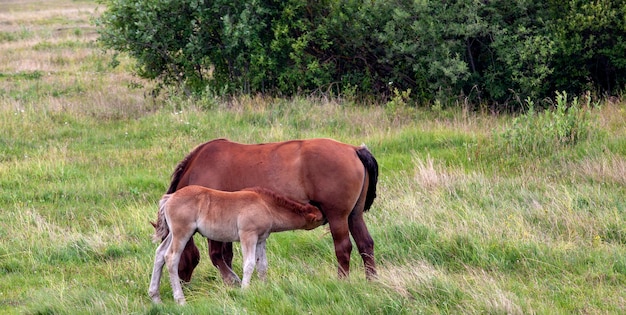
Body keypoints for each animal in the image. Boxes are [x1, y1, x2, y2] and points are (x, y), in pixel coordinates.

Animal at [149, 186, 324, 304]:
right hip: (182, 232)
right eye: (320, 217)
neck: (265, 205)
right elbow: (249, 264)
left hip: (172, 234)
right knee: (171, 258)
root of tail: (170, 197)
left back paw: (155, 297)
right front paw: (245, 291)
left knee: (159, 254)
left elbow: (262, 265)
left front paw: (264, 288)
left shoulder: (260, 239)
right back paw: (180, 300)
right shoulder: (248, 235)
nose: (327, 220)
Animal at [162, 138, 376, 284]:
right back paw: (372, 281)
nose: (182, 283)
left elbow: (216, 256)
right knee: (365, 244)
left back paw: (342, 281)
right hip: (354, 216)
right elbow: (227, 256)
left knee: (343, 248)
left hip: (337, 217)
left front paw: (232, 281)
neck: (200, 169)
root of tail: (354, 150)